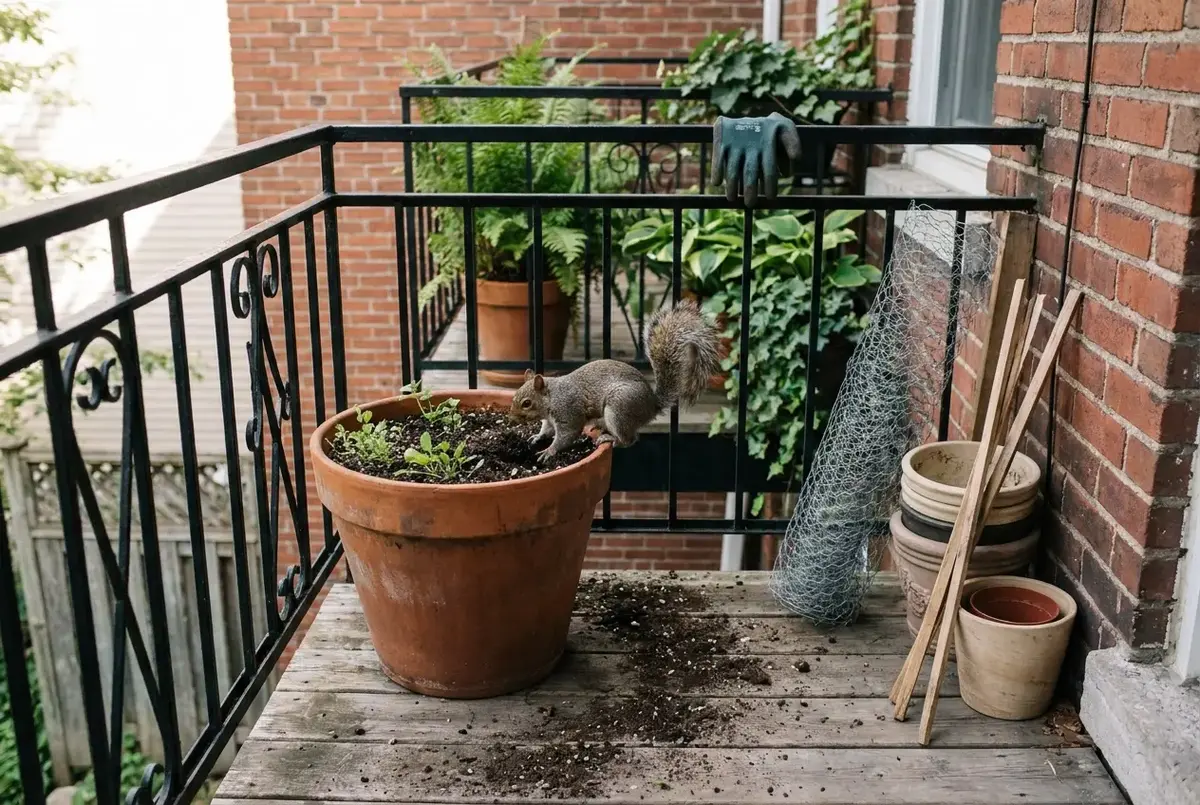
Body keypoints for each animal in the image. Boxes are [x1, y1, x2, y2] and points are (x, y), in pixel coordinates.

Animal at [510, 299, 722, 462]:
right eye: (514, 398)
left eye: (527, 403)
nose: (511, 418)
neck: (552, 397)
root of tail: (651, 405)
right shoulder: (549, 419)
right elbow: (546, 429)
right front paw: (537, 437)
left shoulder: (568, 411)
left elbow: (567, 435)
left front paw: (549, 451)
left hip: (619, 408)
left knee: (630, 439)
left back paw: (610, 439)